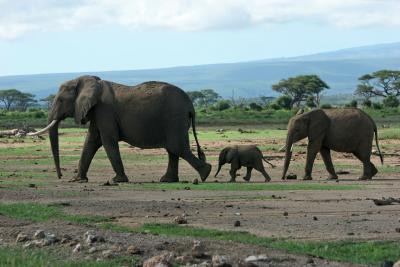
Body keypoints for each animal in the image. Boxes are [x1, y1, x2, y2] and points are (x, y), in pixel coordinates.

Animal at [28, 76, 212, 183]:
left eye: (60, 100)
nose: (60, 176)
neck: (91, 81)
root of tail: (191, 106)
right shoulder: (97, 112)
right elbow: (91, 141)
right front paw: (77, 180)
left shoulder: (104, 111)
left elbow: (107, 141)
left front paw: (118, 180)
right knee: (173, 149)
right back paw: (167, 180)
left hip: (175, 118)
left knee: (176, 147)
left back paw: (205, 173)